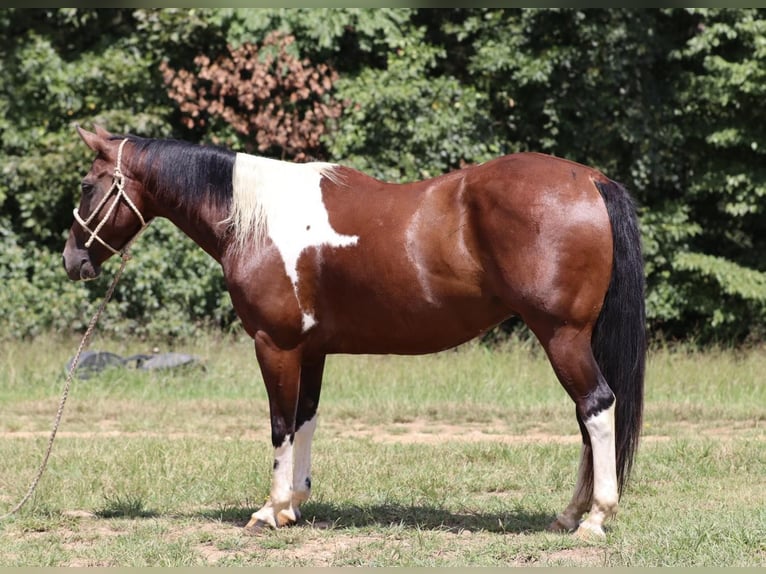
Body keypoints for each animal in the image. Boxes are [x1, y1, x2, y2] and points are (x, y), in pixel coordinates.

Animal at [63, 125, 644, 540]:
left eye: (88, 184)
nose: (72, 260)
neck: (257, 218)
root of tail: (590, 180)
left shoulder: (275, 345)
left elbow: (279, 424)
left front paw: (268, 511)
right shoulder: (311, 350)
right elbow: (305, 419)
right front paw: (294, 506)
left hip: (561, 335)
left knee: (596, 406)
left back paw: (594, 519)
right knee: (587, 416)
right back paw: (569, 515)